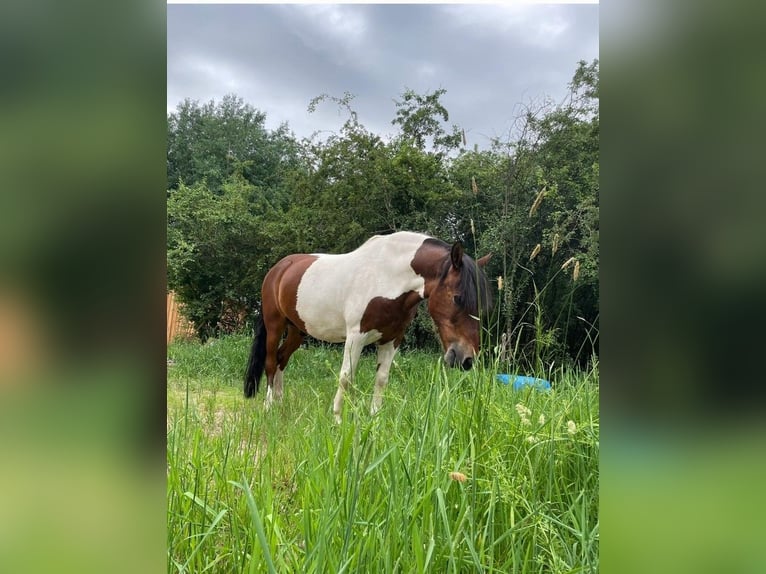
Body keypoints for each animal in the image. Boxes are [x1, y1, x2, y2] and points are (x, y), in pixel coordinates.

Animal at [248, 231, 498, 424]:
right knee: (271, 362)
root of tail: (279, 269)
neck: (387, 276)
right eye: (457, 298)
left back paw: (280, 403)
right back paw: (268, 407)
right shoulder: (356, 336)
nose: (466, 359)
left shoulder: (392, 339)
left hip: (297, 330)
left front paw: (374, 419)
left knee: (282, 359)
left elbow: (381, 379)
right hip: (275, 325)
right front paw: (337, 419)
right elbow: (346, 377)